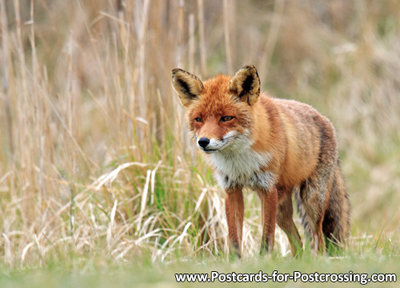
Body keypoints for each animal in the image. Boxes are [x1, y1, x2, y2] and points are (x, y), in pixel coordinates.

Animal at [170, 64, 348, 256]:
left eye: (226, 118)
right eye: (198, 119)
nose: (203, 141)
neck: (240, 162)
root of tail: (325, 118)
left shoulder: (267, 189)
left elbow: (267, 239)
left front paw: (264, 259)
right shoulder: (231, 189)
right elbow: (234, 239)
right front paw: (235, 261)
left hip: (312, 201)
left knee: (318, 239)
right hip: (282, 210)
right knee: (298, 243)